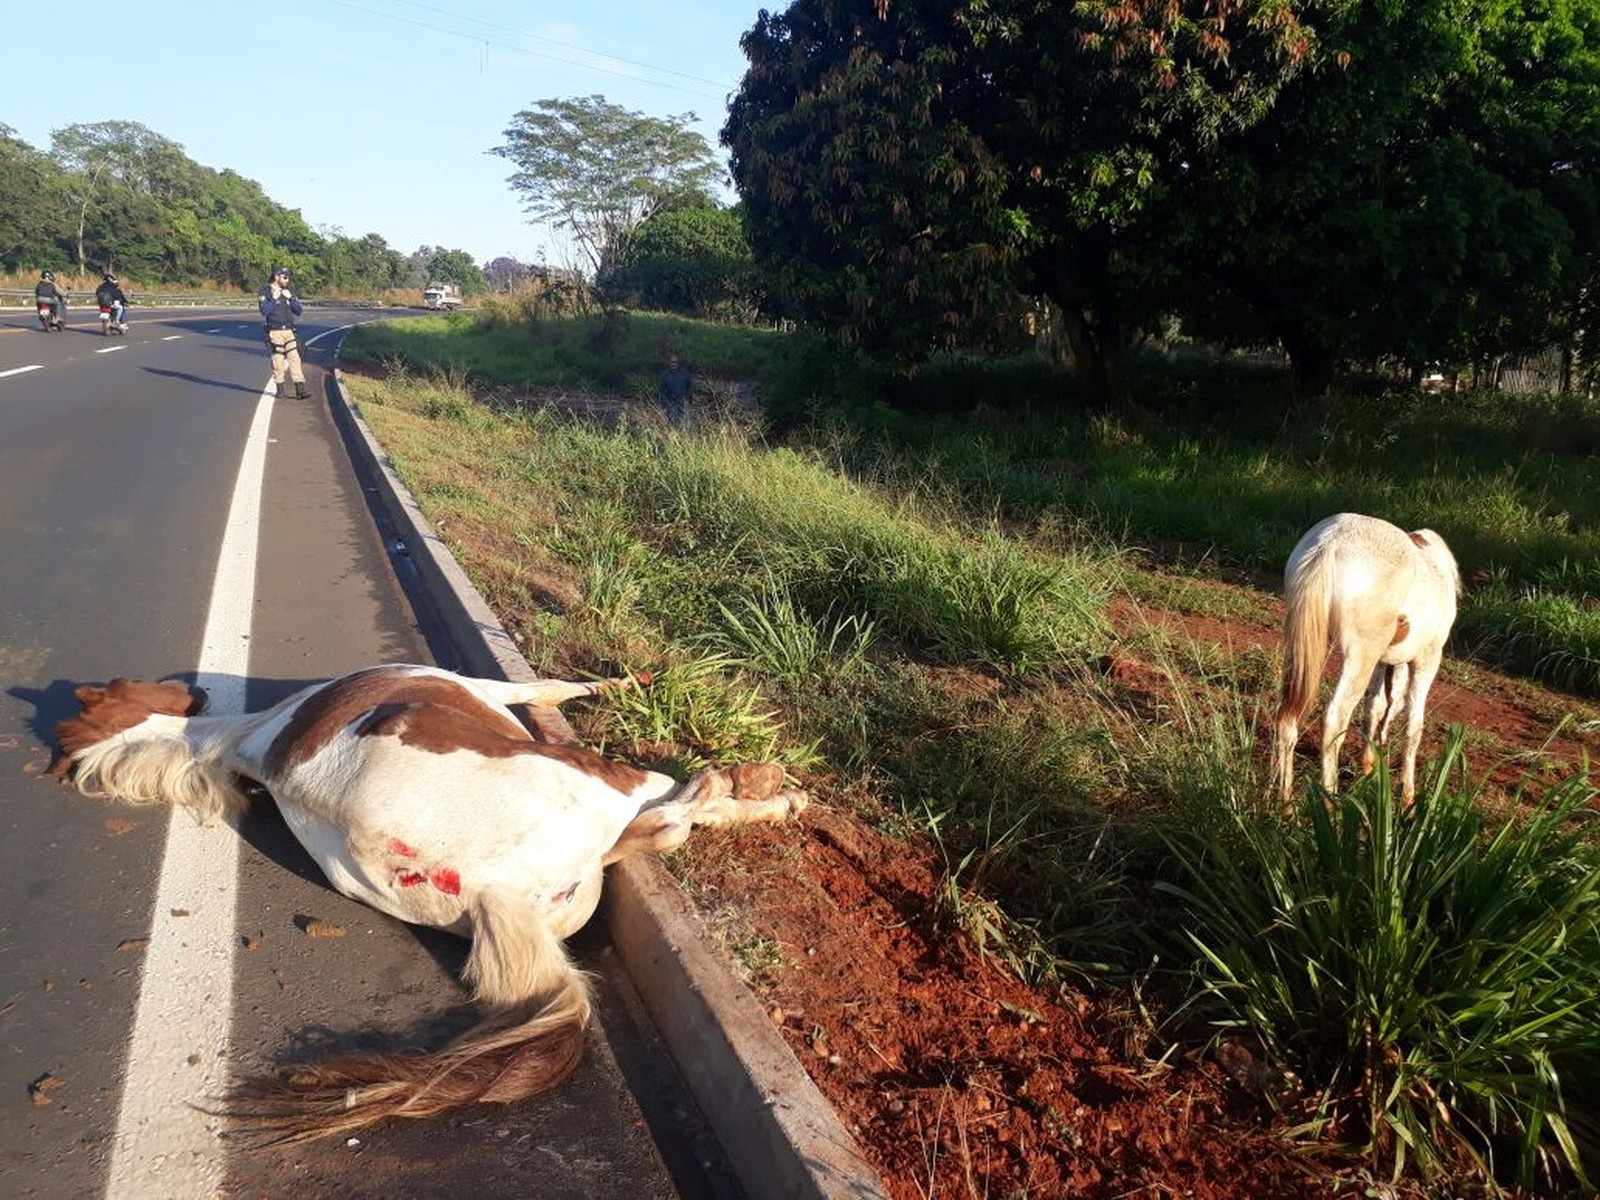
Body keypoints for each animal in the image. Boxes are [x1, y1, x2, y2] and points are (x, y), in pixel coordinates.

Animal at [51, 668, 806, 1145]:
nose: (192, 686)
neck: (250, 736)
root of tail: (495, 891)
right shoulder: (501, 689)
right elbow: (558, 687)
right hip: (603, 782)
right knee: (676, 811)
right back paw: (761, 785)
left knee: (657, 827)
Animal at [1273, 515, 1465, 809]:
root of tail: (1330, 543)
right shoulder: (1427, 659)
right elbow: (1413, 725)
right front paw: (1407, 797)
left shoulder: (1381, 661)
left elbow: (1375, 705)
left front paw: (1368, 768)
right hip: (1360, 655)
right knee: (1335, 720)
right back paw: (1331, 806)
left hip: (1303, 649)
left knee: (1288, 716)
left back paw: (1286, 806)